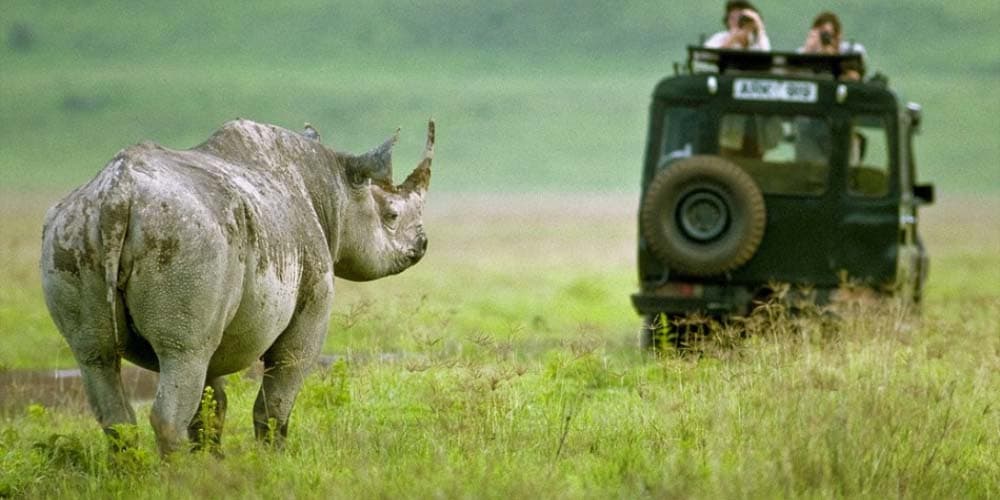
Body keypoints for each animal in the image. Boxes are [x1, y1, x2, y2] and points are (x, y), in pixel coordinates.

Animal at [39, 119, 434, 455]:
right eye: (391, 216)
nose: (422, 244)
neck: (332, 187)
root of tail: (116, 197)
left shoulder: (217, 312)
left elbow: (211, 407)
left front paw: (214, 463)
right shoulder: (310, 303)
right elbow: (277, 397)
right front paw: (272, 460)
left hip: (70, 233)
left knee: (97, 357)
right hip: (186, 238)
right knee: (181, 355)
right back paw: (176, 480)